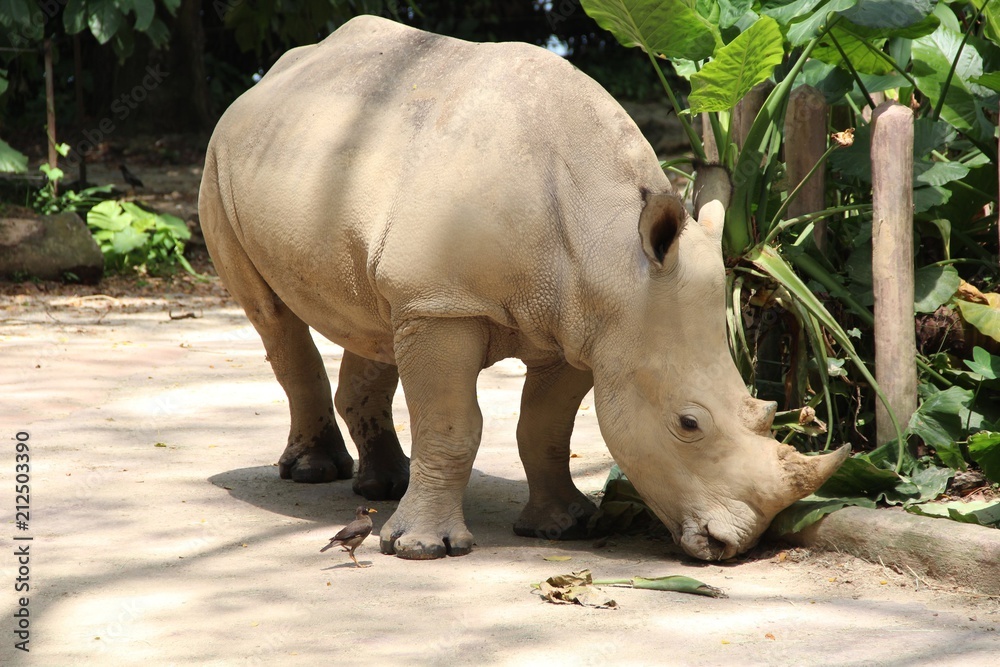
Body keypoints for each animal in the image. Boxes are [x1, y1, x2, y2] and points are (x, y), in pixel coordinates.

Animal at [199, 15, 847, 561]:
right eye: (688, 424)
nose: (736, 544)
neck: (612, 254)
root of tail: (274, 74)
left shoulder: (584, 328)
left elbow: (545, 427)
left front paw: (563, 527)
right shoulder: (445, 305)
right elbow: (452, 423)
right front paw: (422, 549)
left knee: (374, 318)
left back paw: (385, 485)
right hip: (219, 159)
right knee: (273, 316)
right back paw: (316, 473)